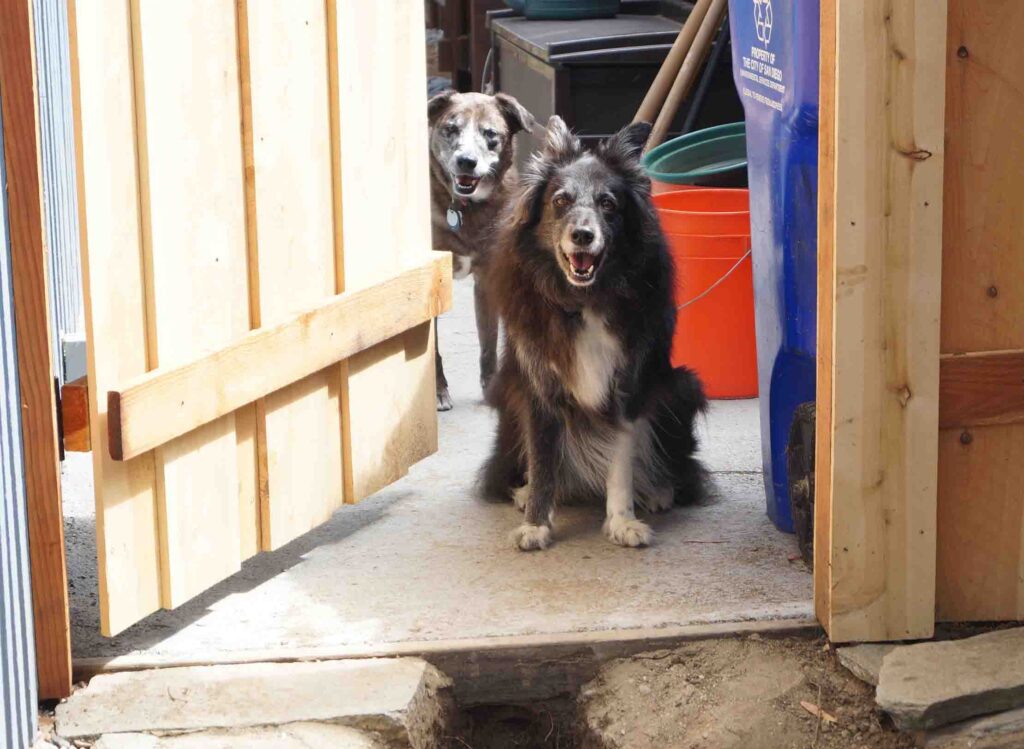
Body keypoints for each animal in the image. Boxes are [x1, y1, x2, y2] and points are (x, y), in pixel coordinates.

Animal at [428, 92, 536, 415]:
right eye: (451, 129)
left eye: (490, 134)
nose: (467, 161)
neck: (464, 208)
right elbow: (433, 349)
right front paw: (438, 391)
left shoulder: (488, 279)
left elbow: (489, 342)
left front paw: (492, 390)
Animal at [477, 117, 704, 549]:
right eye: (561, 201)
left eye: (608, 204)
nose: (583, 235)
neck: (583, 300)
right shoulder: (538, 387)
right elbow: (543, 460)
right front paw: (536, 523)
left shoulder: (629, 384)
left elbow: (621, 458)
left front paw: (622, 521)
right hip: (505, 393)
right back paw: (524, 492)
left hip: (680, 387)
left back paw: (657, 490)